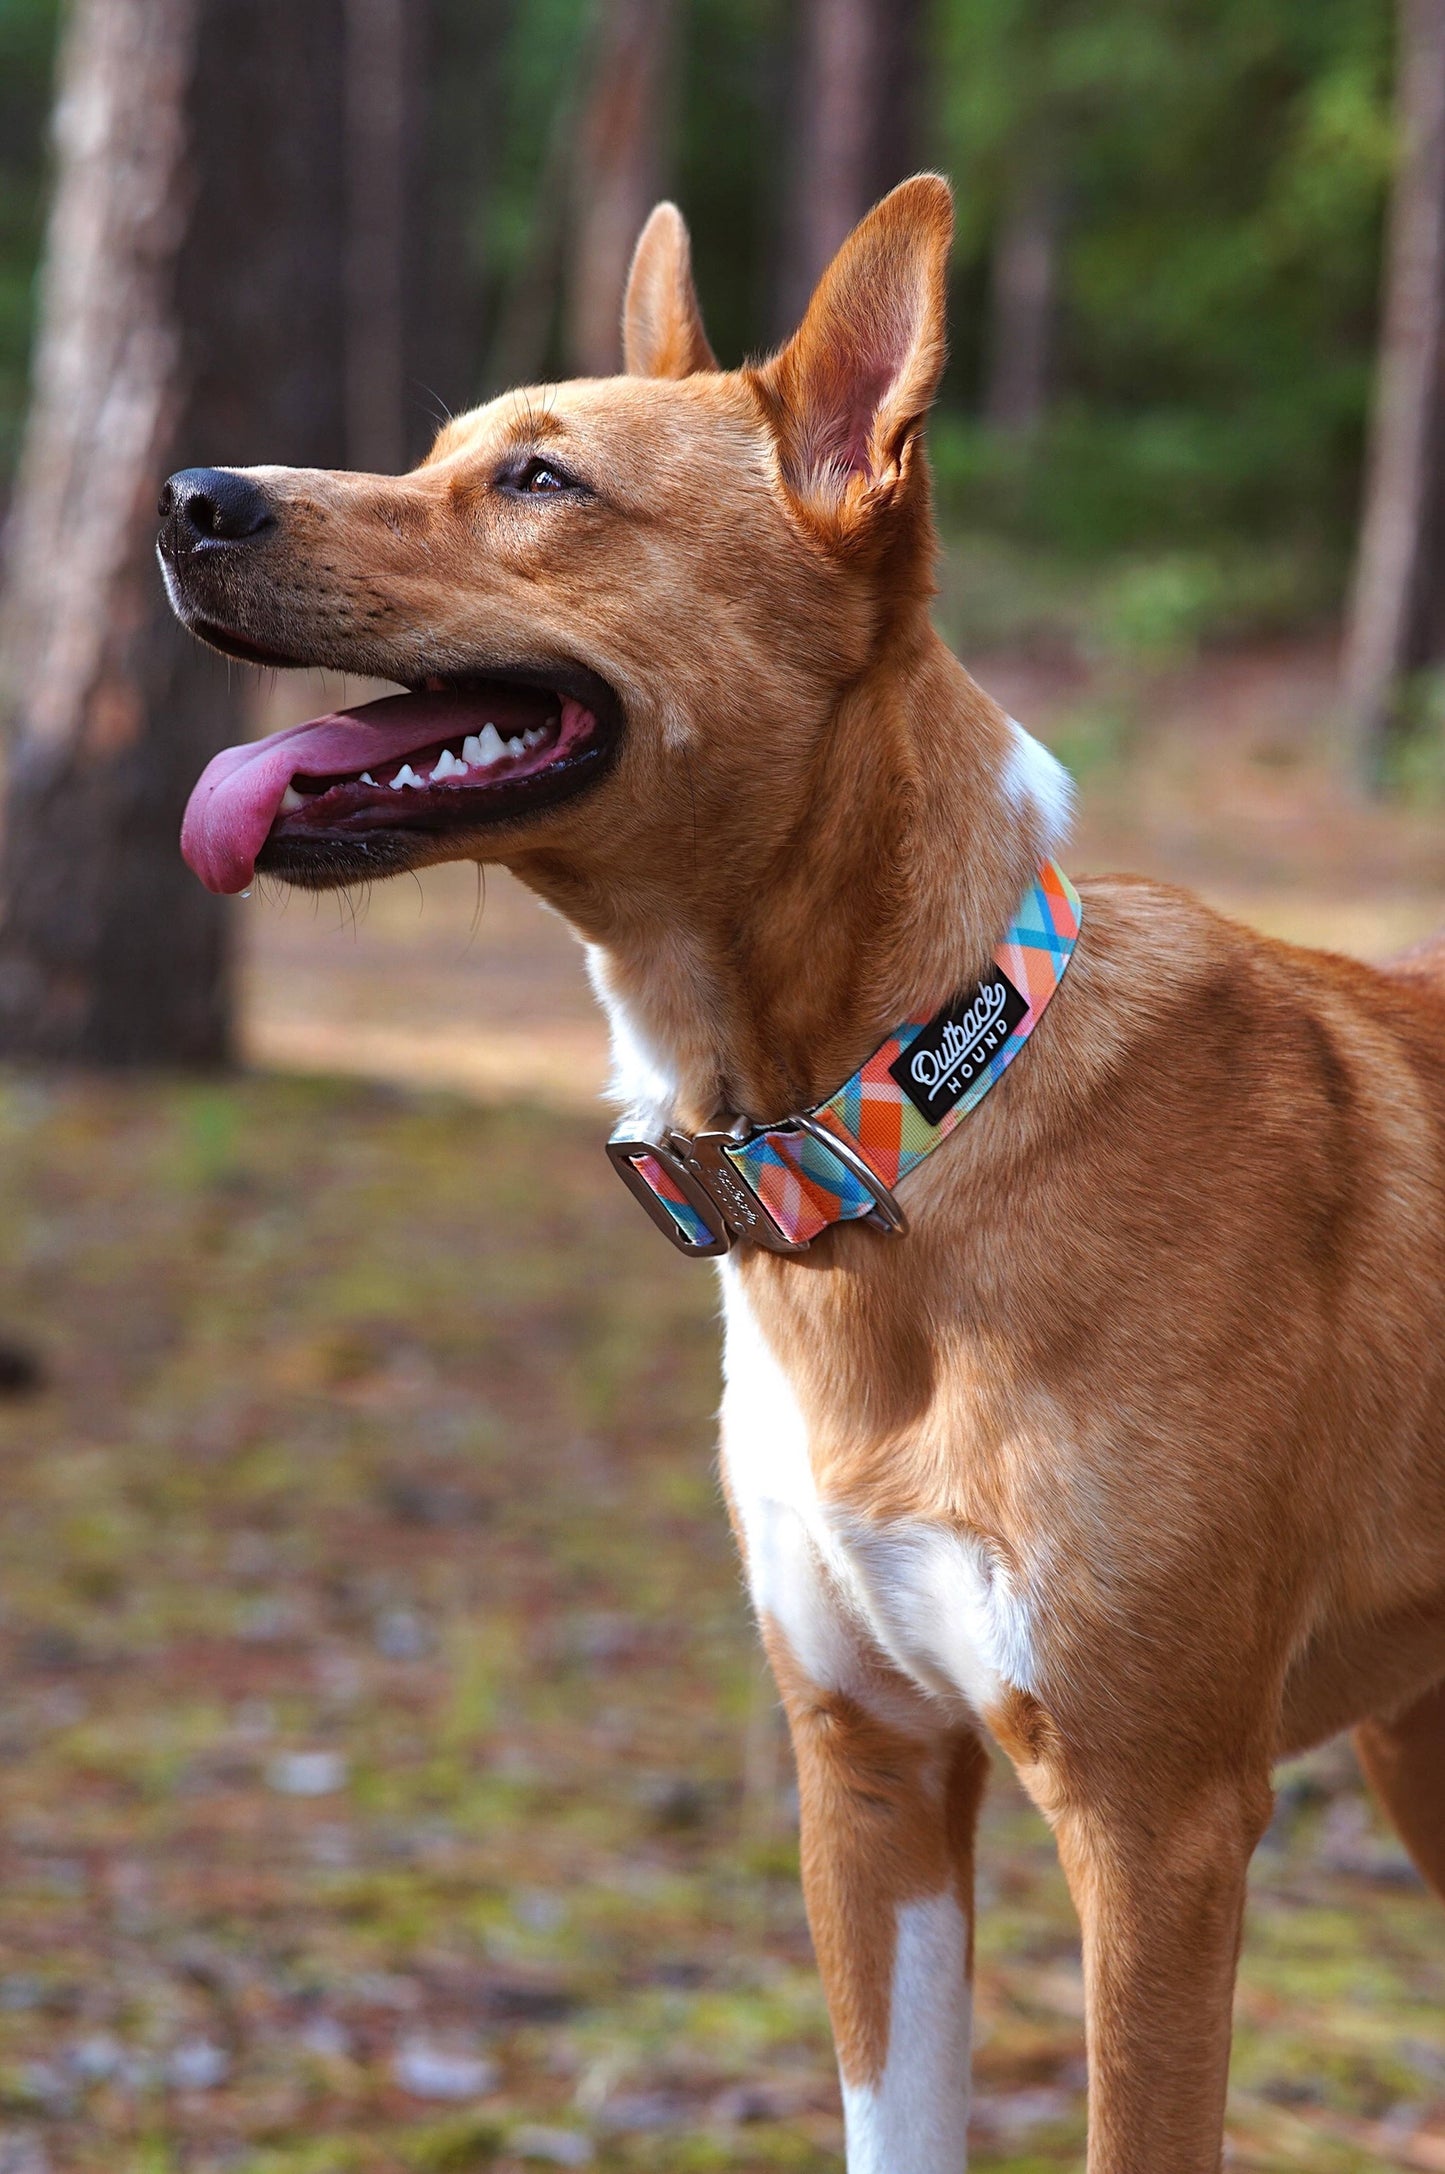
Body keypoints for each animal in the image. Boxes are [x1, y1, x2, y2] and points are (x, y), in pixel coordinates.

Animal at [162, 178, 1442, 2165]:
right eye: (446, 452)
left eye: (540, 481)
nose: (188, 495)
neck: (897, 1110)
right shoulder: (870, 1772)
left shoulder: (1157, 1825)